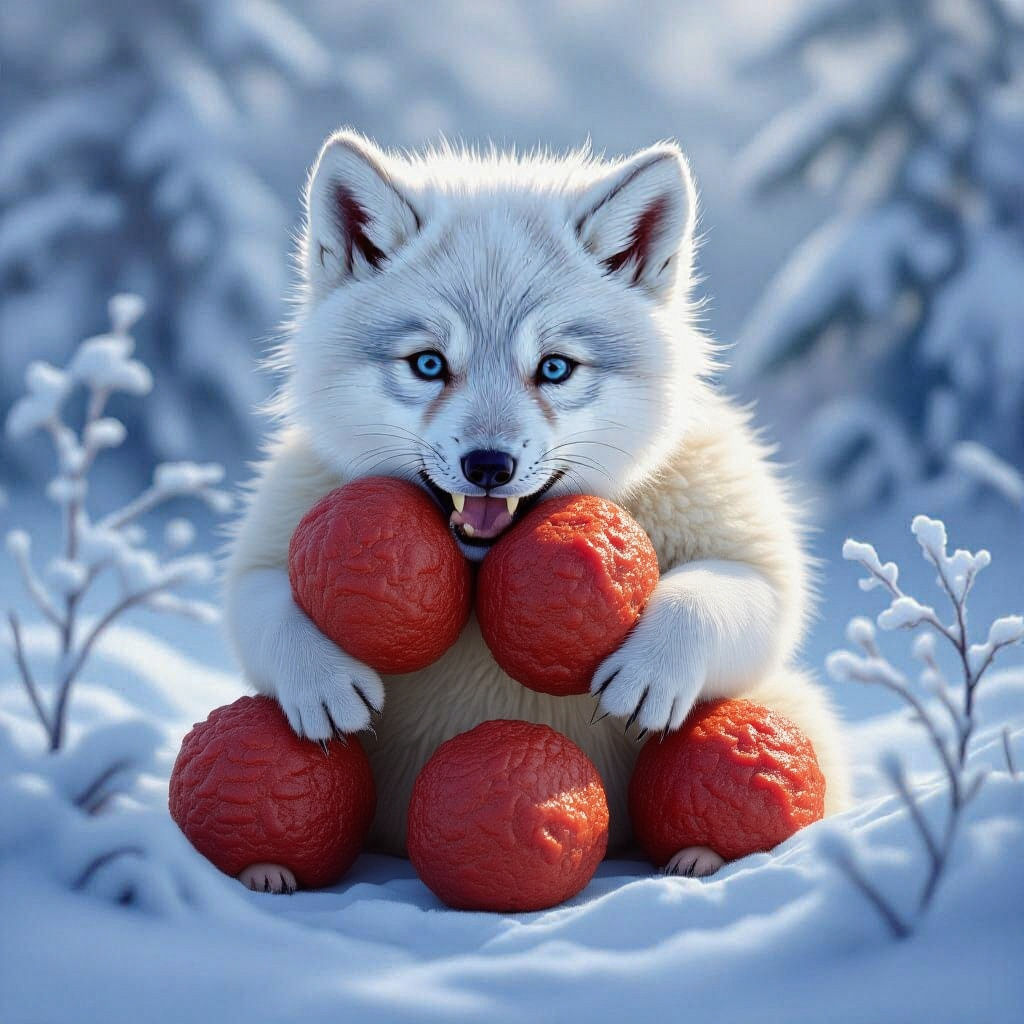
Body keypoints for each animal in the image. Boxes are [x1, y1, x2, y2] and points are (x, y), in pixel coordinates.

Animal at [224, 130, 850, 892]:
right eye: (428, 364)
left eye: (554, 368)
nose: (488, 466)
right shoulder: (277, 530)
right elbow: (263, 604)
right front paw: (319, 679)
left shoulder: (748, 550)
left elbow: (719, 596)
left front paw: (652, 670)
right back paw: (266, 871)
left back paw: (700, 857)